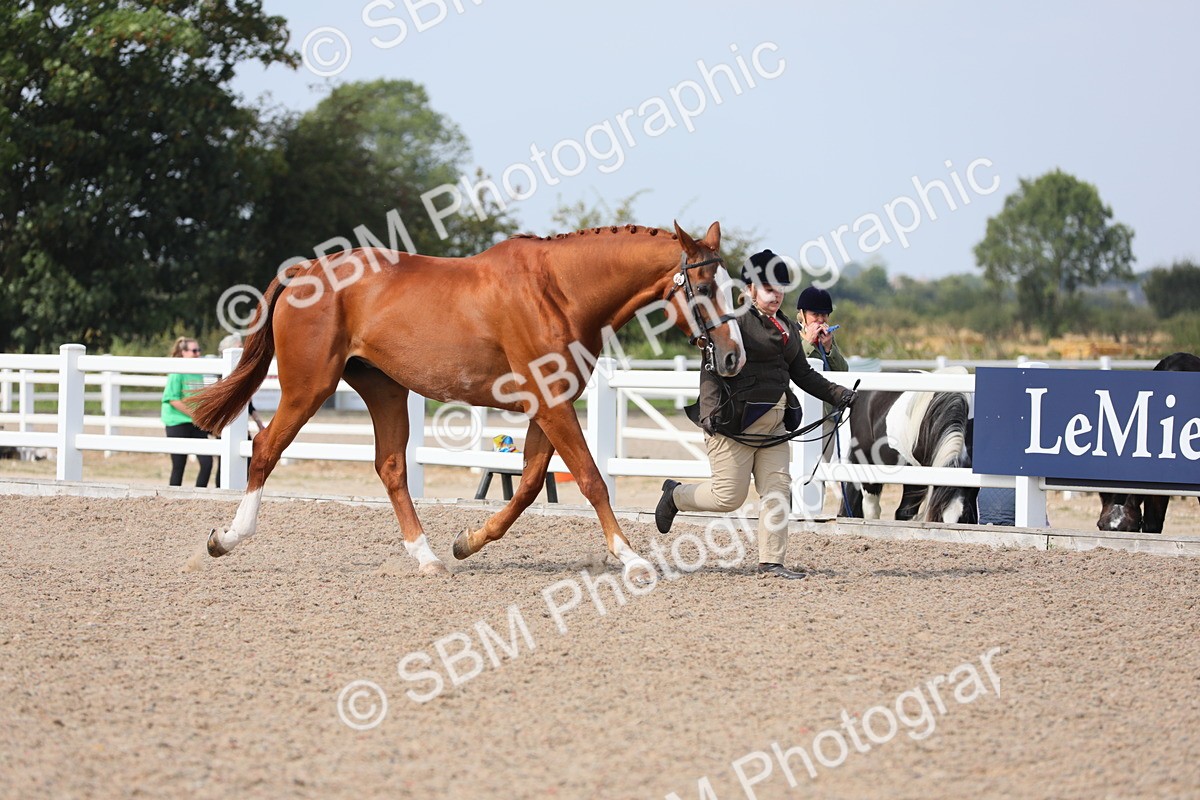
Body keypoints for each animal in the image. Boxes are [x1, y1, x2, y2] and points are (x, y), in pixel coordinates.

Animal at [189, 222, 745, 584]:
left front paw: (469, 541)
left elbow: (528, 486)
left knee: (391, 467)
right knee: (265, 449)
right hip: (309, 388)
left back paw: (428, 557)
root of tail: (306, 270)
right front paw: (630, 558)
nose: (734, 356)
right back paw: (224, 540)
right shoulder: (552, 404)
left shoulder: (548, 405)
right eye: (703, 287)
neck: (559, 291)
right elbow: (590, 479)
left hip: (384, 389)